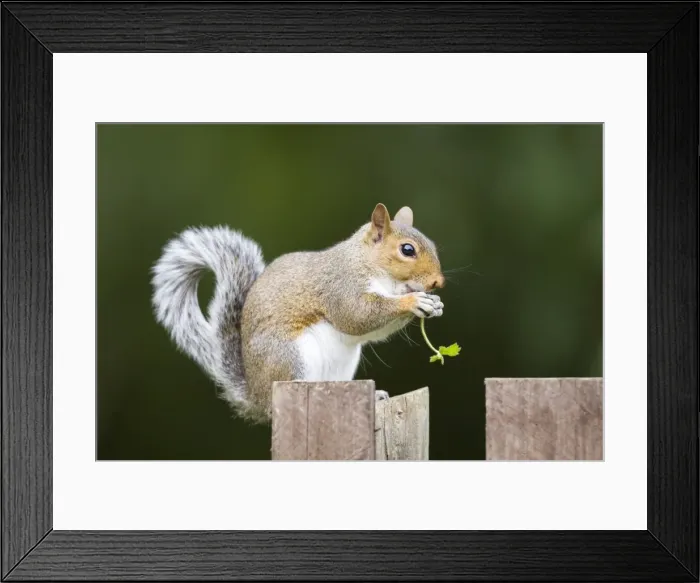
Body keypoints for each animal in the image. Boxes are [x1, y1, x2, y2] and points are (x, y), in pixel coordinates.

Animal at [151, 203, 445, 424]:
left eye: (433, 244)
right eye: (407, 250)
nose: (437, 282)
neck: (368, 265)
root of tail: (256, 396)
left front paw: (435, 304)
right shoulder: (341, 287)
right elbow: (357, 316)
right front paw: (414, 301)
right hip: (289, 357)